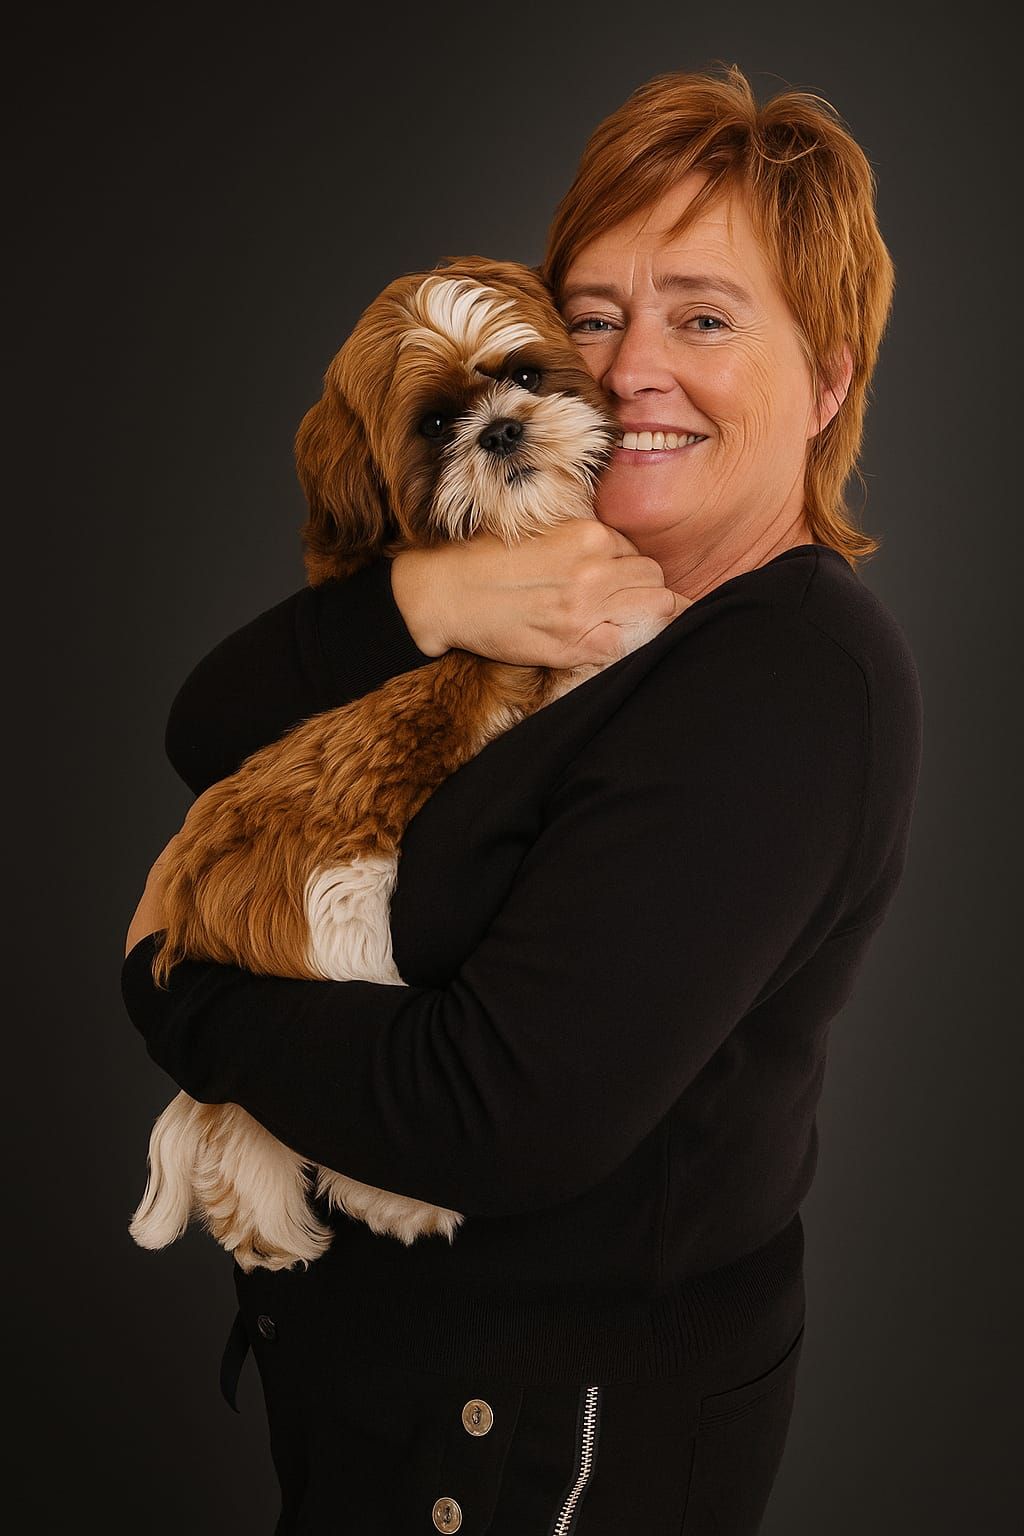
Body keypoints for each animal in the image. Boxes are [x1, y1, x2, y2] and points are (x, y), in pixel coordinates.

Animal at [129, 255, 678, 1273]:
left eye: (526, 375)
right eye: (433, 426)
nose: (501, 429)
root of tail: (190, 919)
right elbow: (614, 635)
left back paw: (264, 1227)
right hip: (341, 921)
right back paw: (392, 1201)